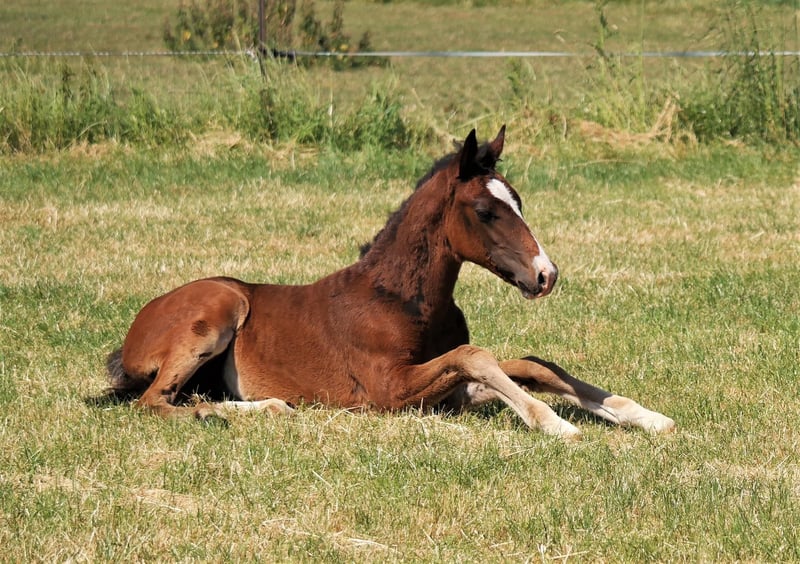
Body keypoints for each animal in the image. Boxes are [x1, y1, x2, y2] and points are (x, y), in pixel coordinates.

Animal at [106, 126, 675, 439]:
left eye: (518, 200)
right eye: (485, 211)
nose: (545, 275)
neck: (402, 301)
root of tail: (133, 333)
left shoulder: (448, 393)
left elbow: (530, 365)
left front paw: (640, 415)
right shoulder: (387, 389)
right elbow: (479, 356)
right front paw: (553, 422)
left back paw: (270, 406)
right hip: (219, 311)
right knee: (151, 402)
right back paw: (226, 414)